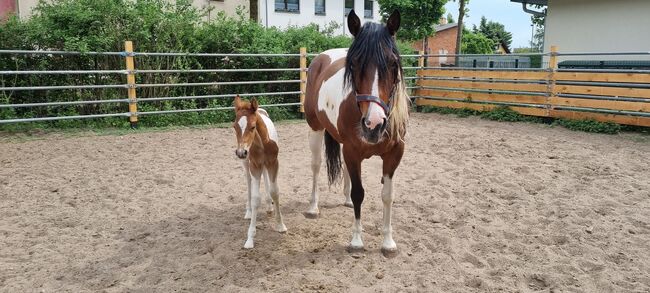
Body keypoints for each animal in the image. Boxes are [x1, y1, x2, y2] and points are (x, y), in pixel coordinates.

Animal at [232, 95, 284, 246]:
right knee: (248, 181)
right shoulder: (254, 165)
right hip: (247, 163)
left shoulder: (273, 163)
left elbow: (275, 192)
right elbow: (255, 198)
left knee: (265, 178)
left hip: (265, 164)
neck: (263, 143)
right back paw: (249, 212)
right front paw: (250, 238)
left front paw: (281, 226)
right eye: (234, 127)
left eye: (253, 126)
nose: (241, 152)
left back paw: (269, 206)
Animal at [302, 9, 404, 256]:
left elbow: (388, 195)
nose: (374, 124)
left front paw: (388, 242)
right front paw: (357, 241)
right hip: (315, 129)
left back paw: (346, 200)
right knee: (316, 166)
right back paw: (313, 207)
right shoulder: (352, 150)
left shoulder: (394, 154)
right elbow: (360, 193)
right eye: (355, 64)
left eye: (393, 63)